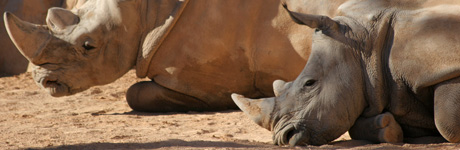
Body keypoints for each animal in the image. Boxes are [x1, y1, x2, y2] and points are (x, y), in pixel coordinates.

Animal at [234, 0, 460, 146]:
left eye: (310, 83)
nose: (283, 138)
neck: (363, 42)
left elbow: (446, 122)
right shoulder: (395, 92)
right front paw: (389, 130)